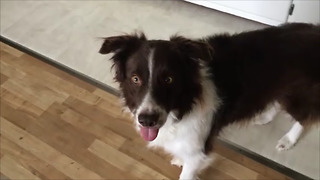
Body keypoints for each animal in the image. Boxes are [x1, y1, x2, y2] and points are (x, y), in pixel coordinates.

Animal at [99, 23, 320, 179]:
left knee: (305, 117)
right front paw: (179, 159)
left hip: (297, 94)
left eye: (169, 79)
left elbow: (188, 172)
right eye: (135, 78)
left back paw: (288, 140)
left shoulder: (198, 148)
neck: (184, 105)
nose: (147, 120)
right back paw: (265, 117)